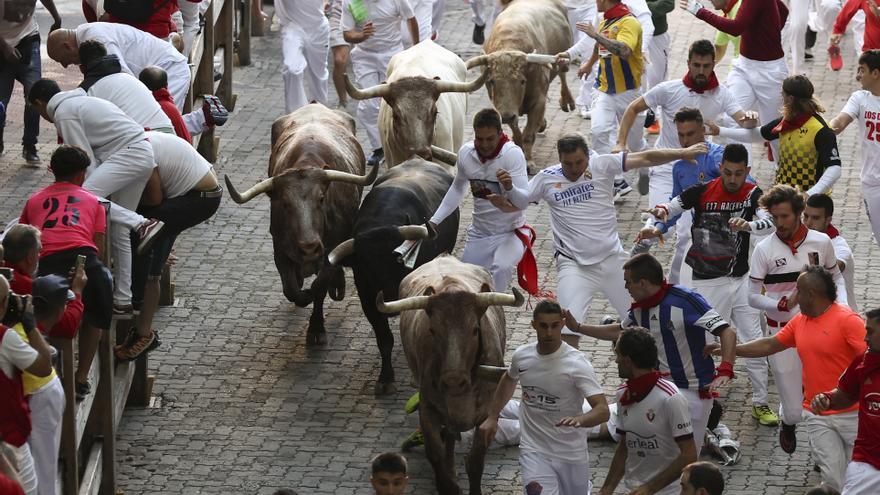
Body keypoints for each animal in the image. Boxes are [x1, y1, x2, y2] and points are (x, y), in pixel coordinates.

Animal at [223, 103, 374, 344]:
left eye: (321, 198)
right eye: (284, 204)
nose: (309, 247)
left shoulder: (331, 250)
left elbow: (320, 286)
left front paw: (316, 327)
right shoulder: (279, 249)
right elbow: (291, 289)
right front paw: (303, 292)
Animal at [324, 162, 460, 396]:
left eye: (398, 259)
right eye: (365, 265)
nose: (390, 298)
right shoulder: (367, 297)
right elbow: (384, 339)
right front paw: (386, 379)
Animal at [378, 256, 524, 495]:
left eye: (475, 329)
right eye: (433, 330)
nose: (453, 380)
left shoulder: (487, 414)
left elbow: (475, 460)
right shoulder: (428, 409)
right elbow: (436, 455)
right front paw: (447, 482)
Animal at [464, 0, 576, 172]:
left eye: (522, 81)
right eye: (491, 81)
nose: (506, 116)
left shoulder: (539, 101)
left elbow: (529, 133)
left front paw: (529, 161)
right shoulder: (504, 108)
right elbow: (517, 132)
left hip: (563, 55)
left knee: (563, 73)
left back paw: (566, 101)